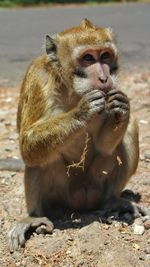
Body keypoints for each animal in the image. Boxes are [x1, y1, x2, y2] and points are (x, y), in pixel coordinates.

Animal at [8, 19, 148, 253]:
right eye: (88, 58)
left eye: (105, 56)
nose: (104, 77)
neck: (72, 89)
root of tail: (82, 201)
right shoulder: (39, 79)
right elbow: (28, 144)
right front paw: (82, 112)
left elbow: (105, 146)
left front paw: (122, 106)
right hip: (60, 195)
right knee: (40, 160)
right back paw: (33, 217)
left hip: (96, 187)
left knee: (131, 129)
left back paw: (113, 201)